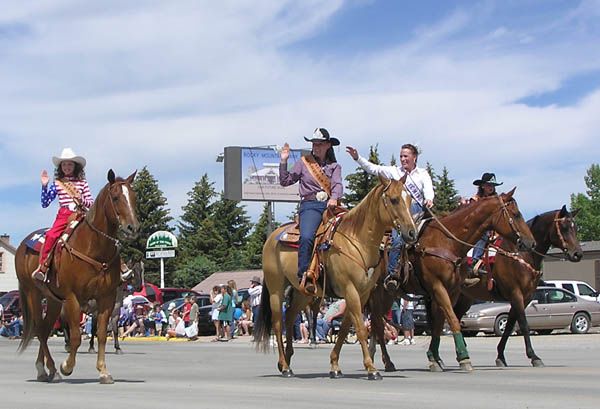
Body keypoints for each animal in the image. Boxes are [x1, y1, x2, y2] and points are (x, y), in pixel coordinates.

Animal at [16, 170, 139, 382]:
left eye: (133, 196)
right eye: (116, 197)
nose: (133, 228)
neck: (94, 248)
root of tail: (23, 243)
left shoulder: (106, 299)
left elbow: (102, 334)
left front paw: (103, 371)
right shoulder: (72, 298)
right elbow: (75, 336)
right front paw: (67, 366)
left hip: (54, 300)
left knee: (45, 329)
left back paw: (47, 370)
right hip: (33, 293)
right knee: (40, 329)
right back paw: (49, 369)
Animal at [254, 176, 418, 380]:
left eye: (409, 199)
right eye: (394, 200)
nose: (412, 233)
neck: (357, 241)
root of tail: (272, 236)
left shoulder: (363, 293)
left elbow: (347, 327)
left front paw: (334, 365)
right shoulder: (351, 290)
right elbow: (361, 328)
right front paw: (371, 368)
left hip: (303, 292)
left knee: (290, 316)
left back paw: (288, 359)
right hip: (276, 289)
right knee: (278, 324)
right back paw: (284, 366)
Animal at [368, 190, 536, 372]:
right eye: (516, 214)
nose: (531, 243)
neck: (447, 242)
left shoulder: (453, 291)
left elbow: (440, 323)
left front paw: (435, 359)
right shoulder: (438, 287)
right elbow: (453, 320)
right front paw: (464, 358)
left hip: (389, 295)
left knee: (376, 322)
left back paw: (376, 358)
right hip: (378, 292)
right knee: (376, 323)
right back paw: (384, 361)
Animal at [454, 206, 580, 368]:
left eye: (575, 228)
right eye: (564, 227)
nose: (577, 254)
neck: (522, 254)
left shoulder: (525, 298)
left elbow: (509, 326)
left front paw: (500, 357)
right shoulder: (516, 294)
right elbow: (524, 324)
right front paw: (534, 356)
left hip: (465, 298)